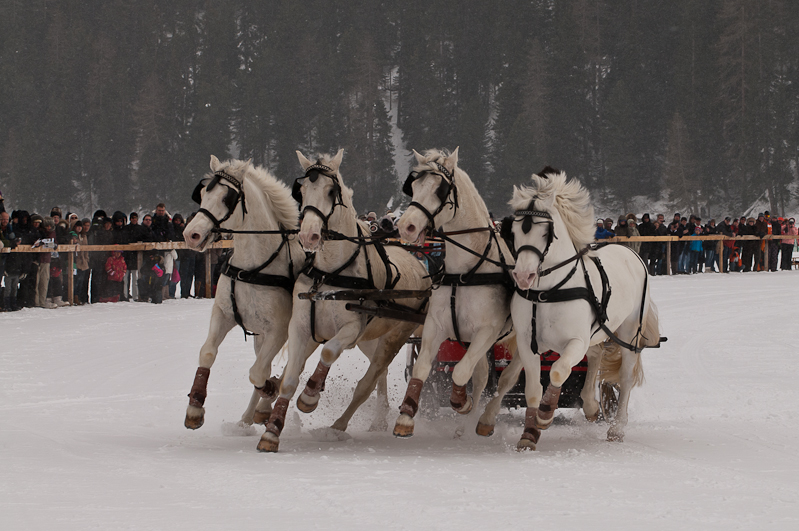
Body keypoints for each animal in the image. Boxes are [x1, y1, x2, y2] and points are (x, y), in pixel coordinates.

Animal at [183, 156, 304, 434]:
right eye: (203, 194)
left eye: (227, 197)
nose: (191, 234)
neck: (251, 268)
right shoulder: (223, 314)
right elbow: (207, 353)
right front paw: (194, 408)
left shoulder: (279, 330)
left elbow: (259, 373)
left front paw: (270, 390)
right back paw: (249, 416)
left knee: (288, 368)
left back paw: (265, 405)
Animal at [258, 150, 432, 454]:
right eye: (302, 191)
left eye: (331, 191)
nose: (308, 235)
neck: (330, 272)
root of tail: (418, 262)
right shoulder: (301, 328)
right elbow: (289, 381)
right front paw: (271, 431)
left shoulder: (351, 329)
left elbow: (329, 353)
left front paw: (310, 396)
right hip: (369, 339)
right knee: (377, 375)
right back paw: (377, 420)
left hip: (394, 337)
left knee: (369, 380)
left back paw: (338, 427)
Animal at [392, 148, 520, 438]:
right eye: (413, 186)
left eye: (440, 189)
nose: (406, 227)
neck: (466, 273)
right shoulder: (437, 326)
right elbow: (423, 368)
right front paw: (405, 417)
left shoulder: (487, 331)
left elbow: (460, 373)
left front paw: (462, 403)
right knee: (483, 376)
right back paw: (464, 427)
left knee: (509, 379)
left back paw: (487, 420)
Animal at [506, 170, 664, 448]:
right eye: (514, 230)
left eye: (546, 231)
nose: (524, 276)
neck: (547, 292)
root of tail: (629, 251)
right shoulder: (527, 344)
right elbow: (533, 389)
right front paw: (529, 434)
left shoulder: (576, 342)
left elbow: (558, 371)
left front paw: (545, 415)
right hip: (598, 332)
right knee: (596, 355)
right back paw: (591, 405)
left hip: (628, 332)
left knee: (624, 377)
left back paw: (617, 428)